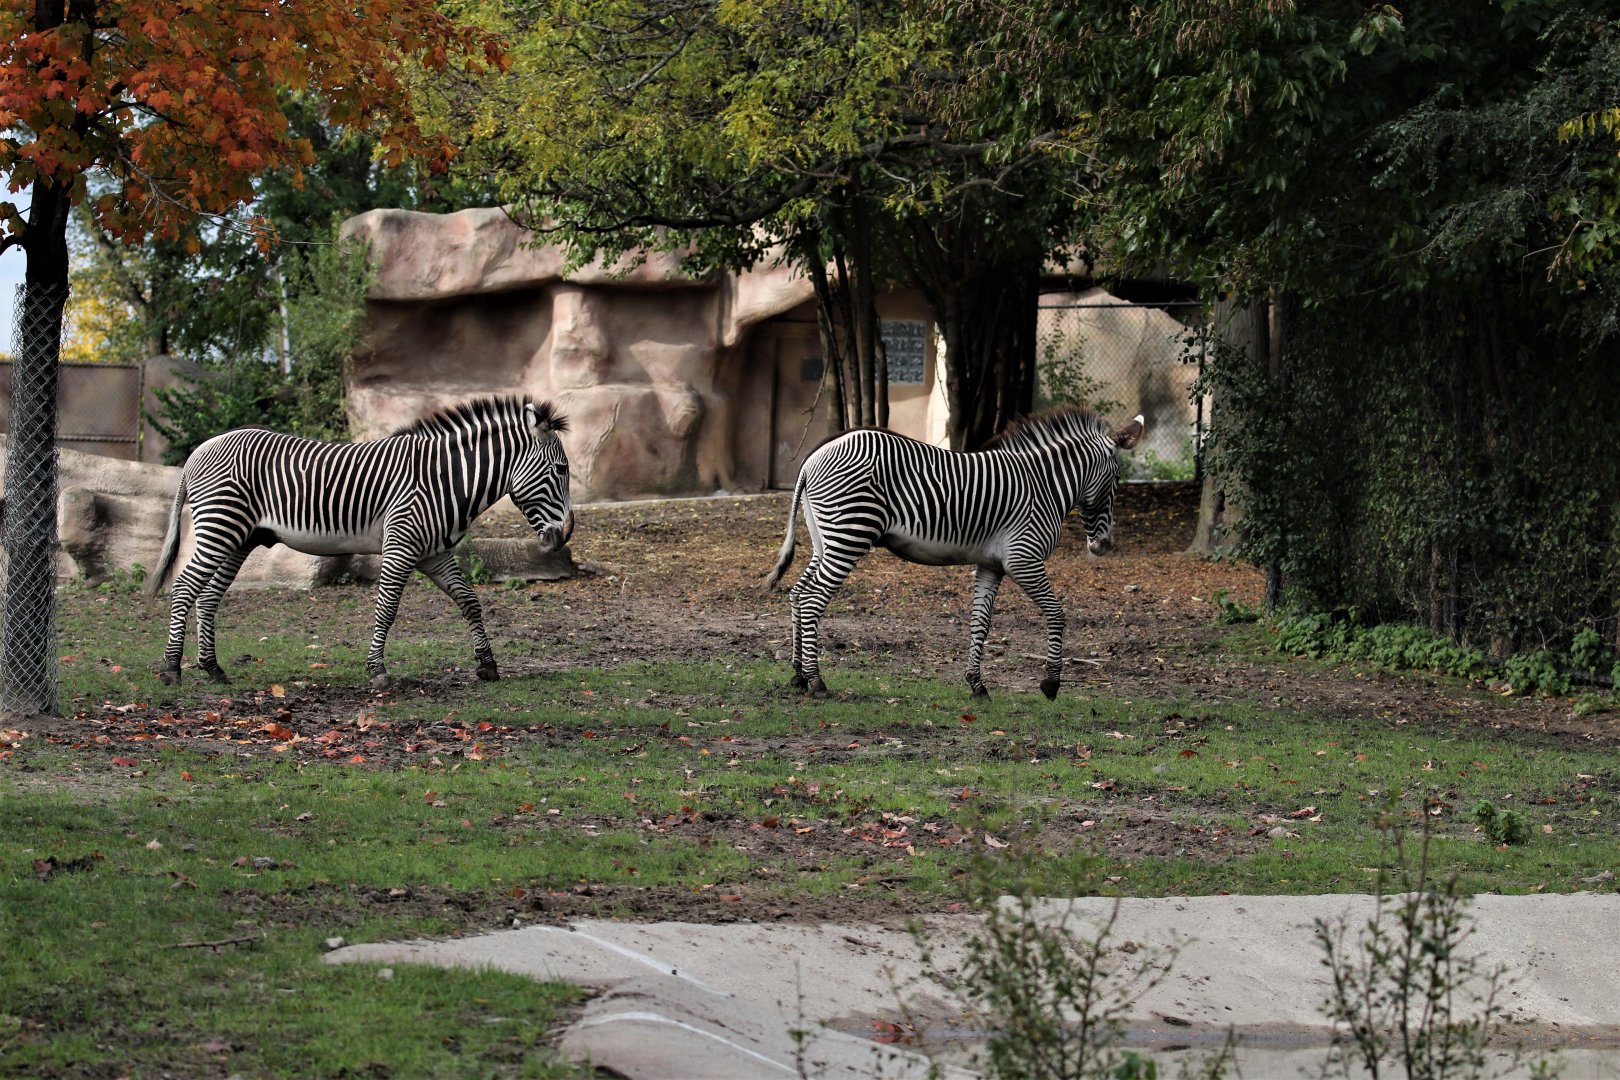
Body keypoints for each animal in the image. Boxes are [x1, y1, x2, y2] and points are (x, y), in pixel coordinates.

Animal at [147, 396, 573, 688]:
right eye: (560, 469)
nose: (565, 536)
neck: (445, 479)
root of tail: (198, 451)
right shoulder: (402, 544)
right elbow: (387, 608)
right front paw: (377, 670)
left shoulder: (433, 553)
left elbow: (468, 600)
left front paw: (487, 665)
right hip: (221, 526)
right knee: (185, 587)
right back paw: (171, 668)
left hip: (239, 538)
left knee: (208, 596)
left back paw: (213, 668)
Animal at [764, 407, 1144, 700]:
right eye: (1117, 480)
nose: (1103, 546)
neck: (1045, 487)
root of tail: (813, 457)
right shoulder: (1023, 558)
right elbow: (1056, 613)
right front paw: (1051, 684)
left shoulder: (992, 565)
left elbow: (981, 623)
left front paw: (977, 685)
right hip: (849, 535)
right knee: (812, 599)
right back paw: (817, 681)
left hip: (825, 539)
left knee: (797, 593)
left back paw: (798, 675)